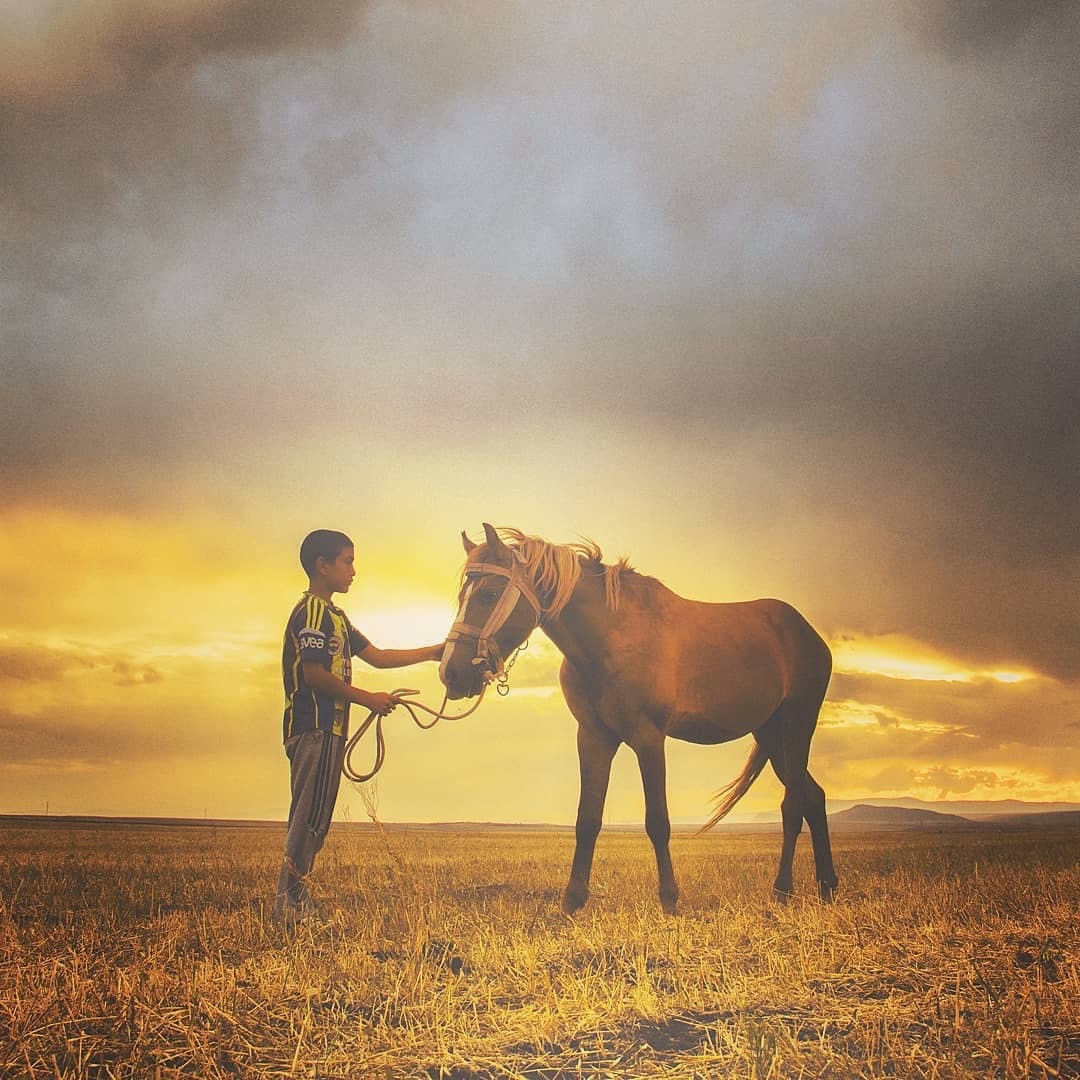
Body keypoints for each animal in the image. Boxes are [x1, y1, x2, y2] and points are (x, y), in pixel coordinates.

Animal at [434, 522, 838, 911]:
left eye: (488, 594)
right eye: (462, 596)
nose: (451, 673)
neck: (611, 637)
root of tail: (808, 634)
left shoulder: (648, 738)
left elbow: (657, 821)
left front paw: (670, 899)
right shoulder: (594, 737)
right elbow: (587, 819)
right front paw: (572, 901)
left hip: (796, 727)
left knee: (793, 804)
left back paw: (783, 890)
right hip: (770, 735)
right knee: (813, 797)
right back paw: (828, 888)